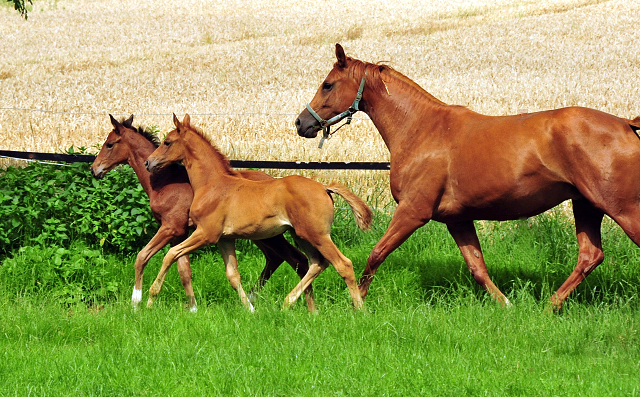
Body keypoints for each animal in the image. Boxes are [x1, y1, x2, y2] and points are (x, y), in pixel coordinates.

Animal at [91, 113, 316, 310]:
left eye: (109, 144)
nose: (94, 169)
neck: (165, 183)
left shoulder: (170, 228)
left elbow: (142, 257)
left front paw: (136, 302)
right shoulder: (180, 233)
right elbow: (183, 269)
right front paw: (193, 308)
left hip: (269, 235)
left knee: (296, 259)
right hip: (260, 235)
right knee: (278, 258)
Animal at [146, 113, 372, 310]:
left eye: (167, 142)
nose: (149, 162)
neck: (213, 185)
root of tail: (324, 187)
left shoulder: (206, 234)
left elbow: (171, 254)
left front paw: (149, 299)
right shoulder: (225, 239)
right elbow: (232, 275)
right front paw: (250, 309)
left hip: (317, 235)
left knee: (343, 264)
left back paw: (360, 310)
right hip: (302, 235)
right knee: (317, 263)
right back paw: (290, 304)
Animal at [296, 44, 640, 310]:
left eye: (328, 84)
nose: (301, 123)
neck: (422, 129)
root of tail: (626, 124)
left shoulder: (413, 211)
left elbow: (376, 254)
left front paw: (358, 304)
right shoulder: (457, 219)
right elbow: (477, 266)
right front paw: (507, 305)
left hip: (621, 208)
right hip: (586, 205)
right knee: (590, 256)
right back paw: (548, 307)